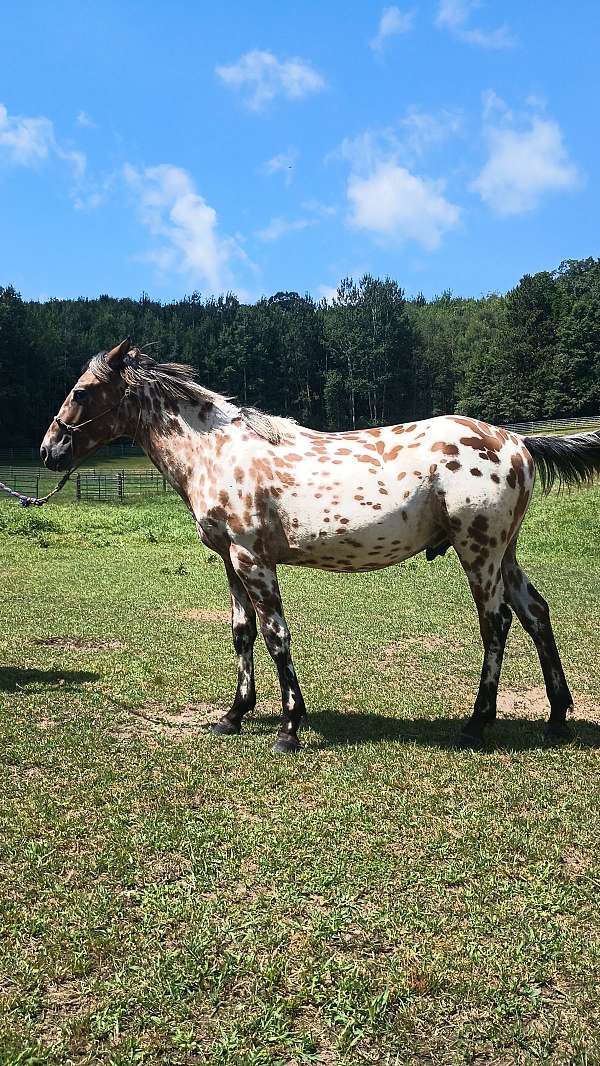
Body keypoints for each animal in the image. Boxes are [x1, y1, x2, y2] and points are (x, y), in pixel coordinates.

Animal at [40, 339, 600, 753]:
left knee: (496, 623)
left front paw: (289, 728)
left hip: (479, 552)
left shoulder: (252, 559)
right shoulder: (230, 561)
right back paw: (556, 716)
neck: (216, 452)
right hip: (504, 553)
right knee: (535, 613)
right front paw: (233, 715)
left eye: (83, 392)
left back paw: (476, 723)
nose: (50, 449)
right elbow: (242, 633)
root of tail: (517, 441)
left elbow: (275, 636)